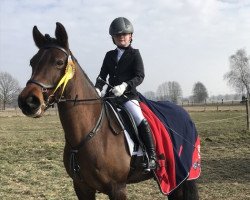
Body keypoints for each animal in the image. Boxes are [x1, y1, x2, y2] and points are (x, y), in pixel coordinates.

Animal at [18, 22, 199, 199]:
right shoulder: (82, 188)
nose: (28, 101)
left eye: (59, 62)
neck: (89, 134)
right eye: (32, 62)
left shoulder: (117, 188)